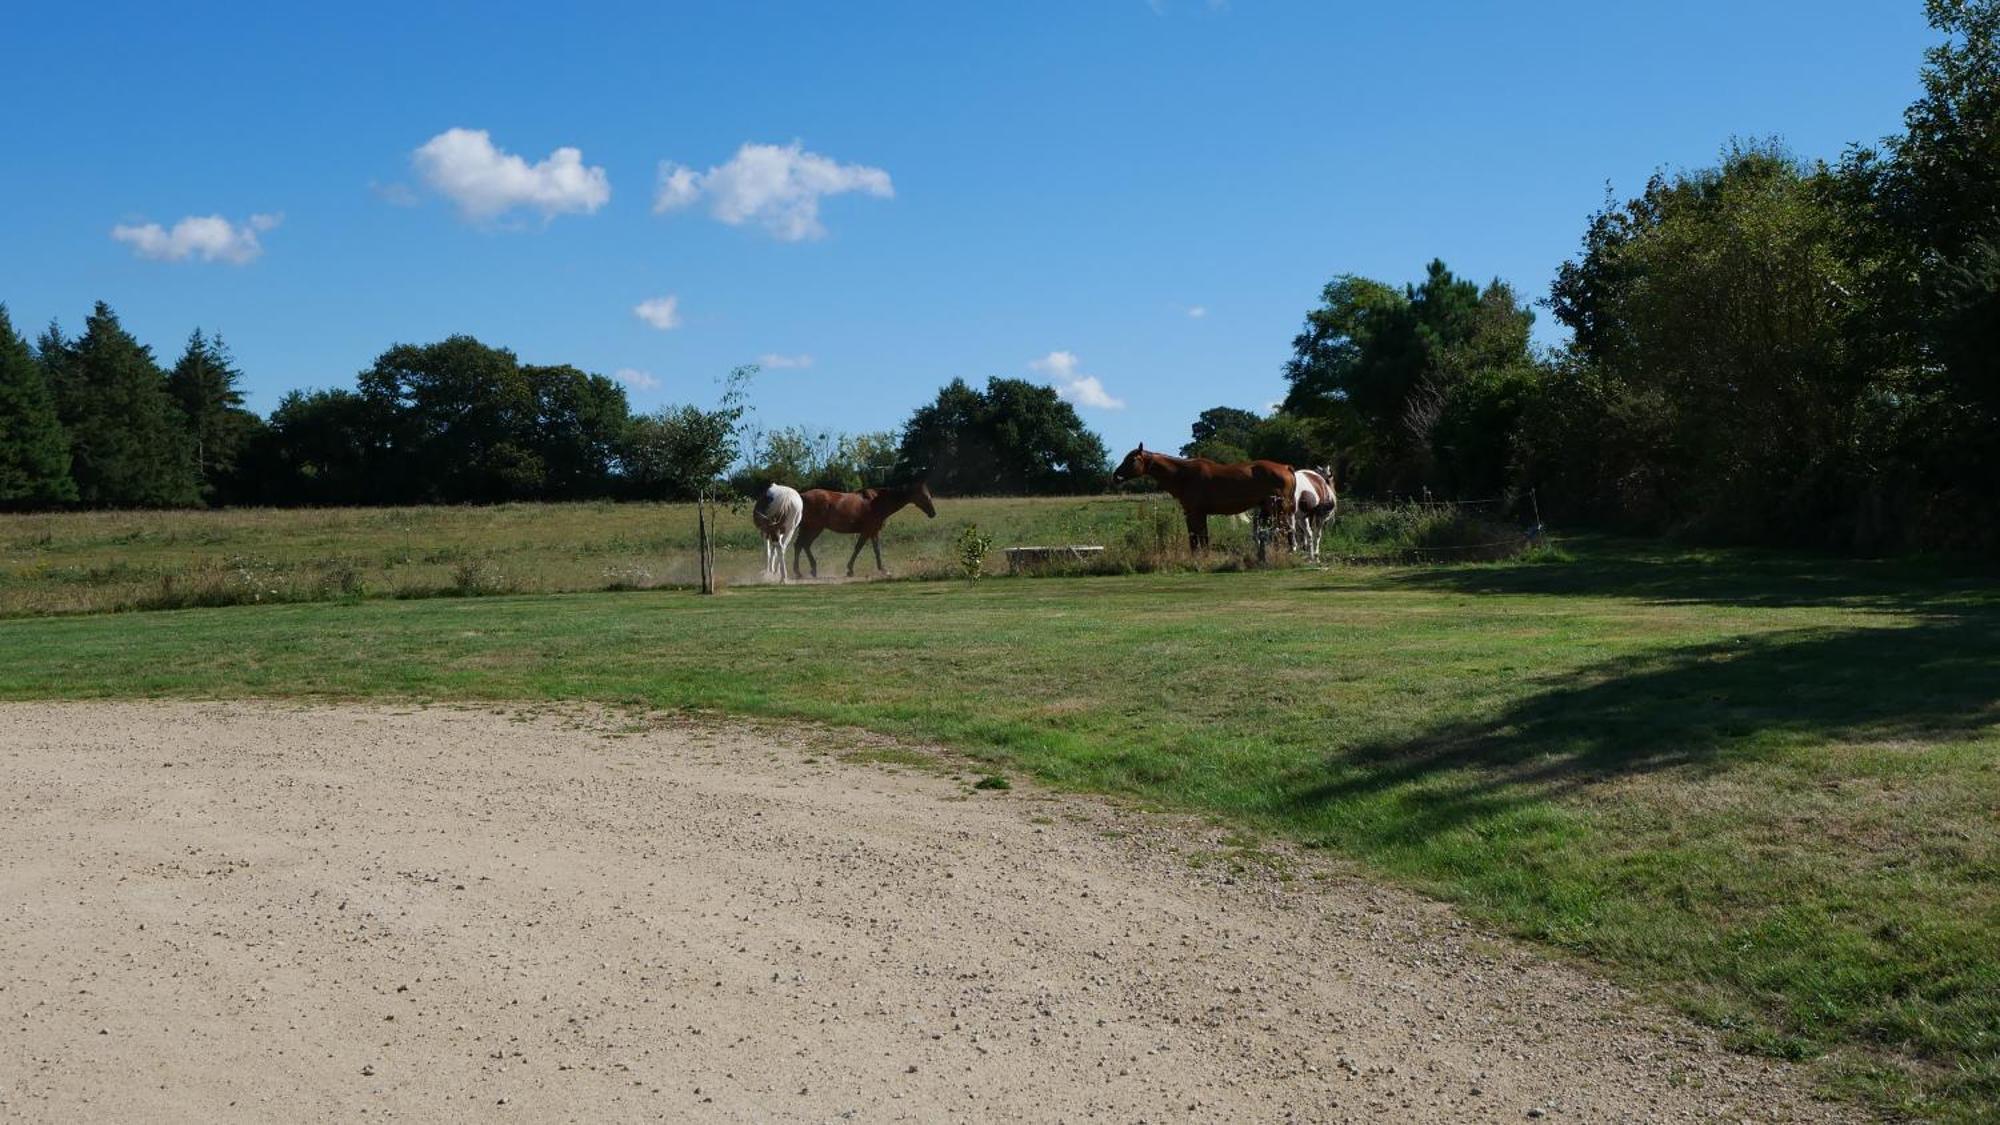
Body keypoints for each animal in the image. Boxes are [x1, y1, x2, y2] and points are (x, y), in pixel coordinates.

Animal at [788, 474, 936, 572]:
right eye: (925, 496)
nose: (933, 513)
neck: (878, 502)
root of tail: (802, 496)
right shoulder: (868, 531)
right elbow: (859, 548)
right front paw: (851, 569)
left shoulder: (873, 532)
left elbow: (875, 549)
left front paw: (881, 568)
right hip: (814, 528)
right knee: (803, 544)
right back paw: (802, 571)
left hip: (809, 528)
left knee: (801, 545)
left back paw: (807, 570)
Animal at [1112, 440, 1296, 548]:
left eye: (1132, 460)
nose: (1115, 475)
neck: (1184, 475)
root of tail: (1285, 467)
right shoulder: (1195, 513)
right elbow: (1199, 538)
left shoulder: (1196, 513)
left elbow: (1197, 538)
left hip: (1278, 510)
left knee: (1285, 531)